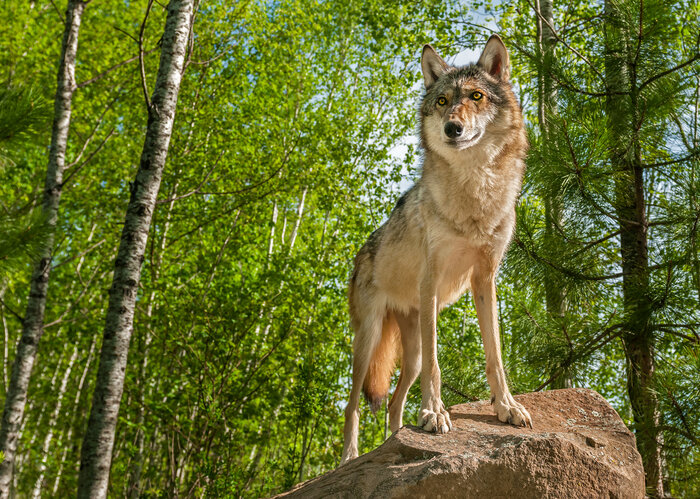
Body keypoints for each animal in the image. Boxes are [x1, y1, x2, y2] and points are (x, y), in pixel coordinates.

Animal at [340, 35, 532, 465]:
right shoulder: (431, 282)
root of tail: (360, 254)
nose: (452, 128)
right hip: (368, 341)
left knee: (394, 402)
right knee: (352, 404)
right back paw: (350, 458)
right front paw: (434, 414)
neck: (475, 190)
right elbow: (437, 364)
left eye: (476, 96)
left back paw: (394, 443)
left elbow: (495, 356)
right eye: (443, 101)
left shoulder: (485, 279)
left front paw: (507, 407)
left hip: (406, 355)